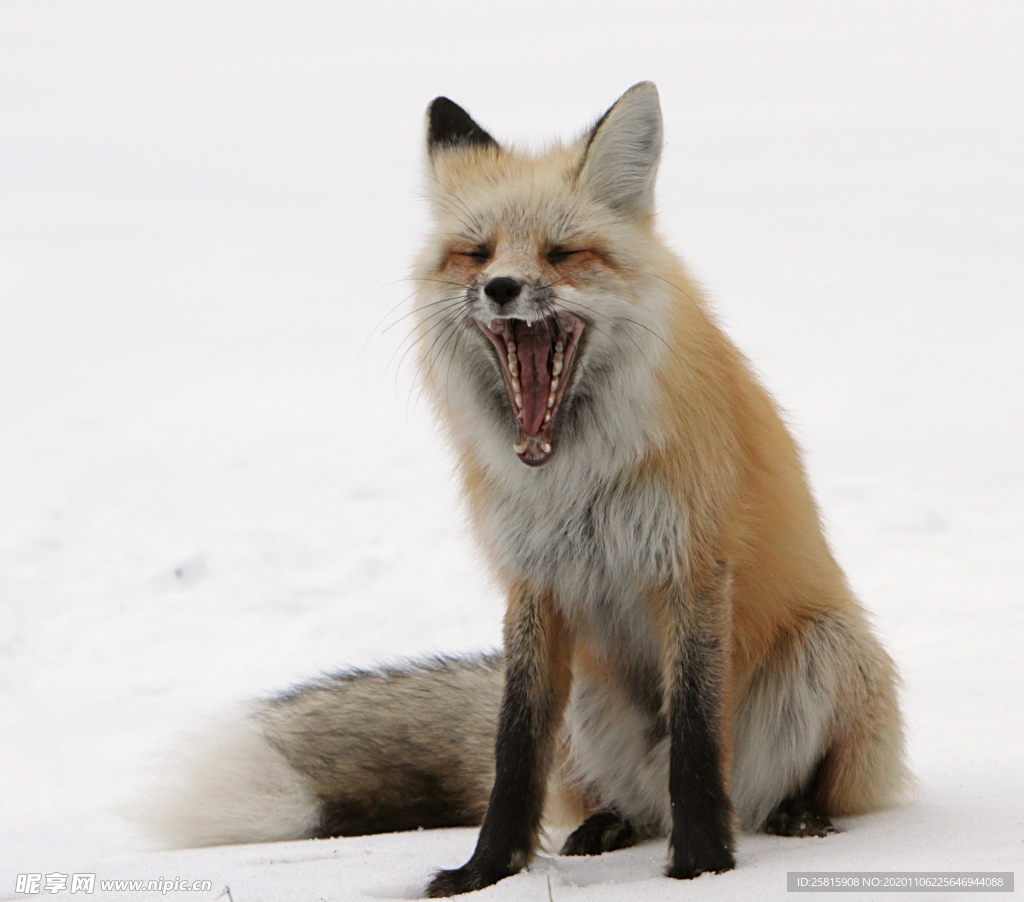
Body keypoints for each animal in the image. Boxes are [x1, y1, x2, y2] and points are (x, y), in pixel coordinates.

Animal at [140, 82, 909, 892]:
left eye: (563, 253)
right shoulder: (534, 582)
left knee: (771, 785)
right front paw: (485, 872)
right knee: (615, 799)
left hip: (828, 649)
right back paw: (606, 825)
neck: (574, 482)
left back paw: (796, 812)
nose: (500, 287)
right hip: (590, 708)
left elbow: (697, 739)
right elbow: (514, 748)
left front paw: (703, 866)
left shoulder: (692, 568)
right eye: (475, 254)